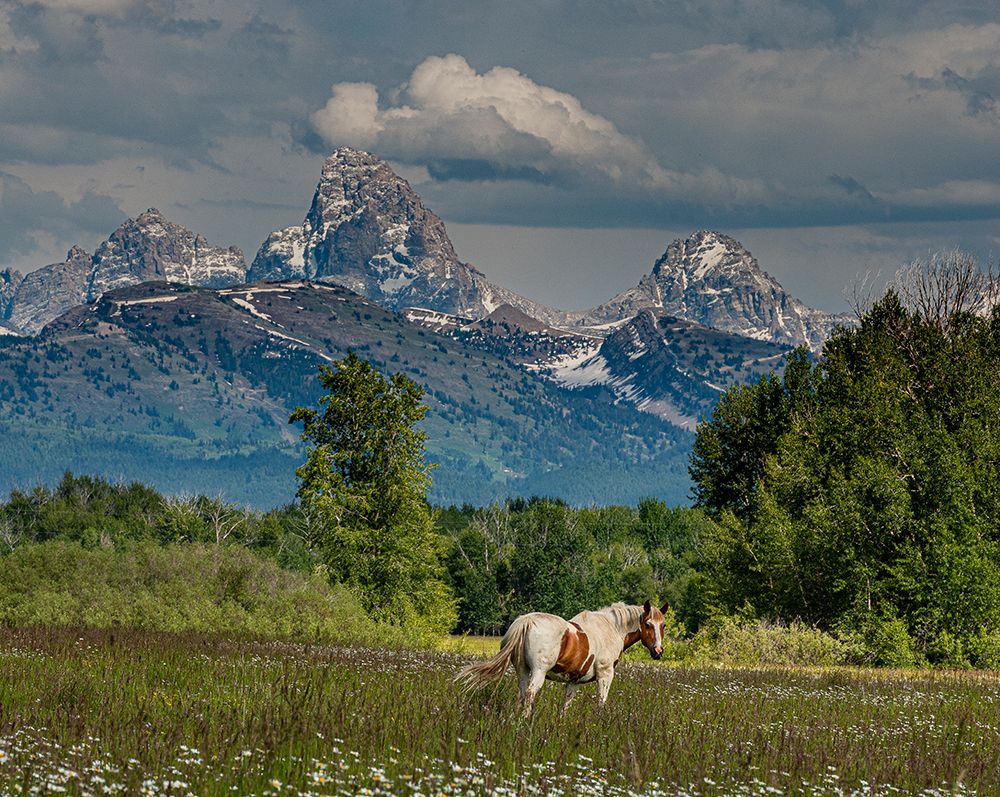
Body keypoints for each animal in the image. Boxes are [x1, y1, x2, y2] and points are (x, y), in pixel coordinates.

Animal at [456, 600, 669, 716]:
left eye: (663, 625)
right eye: (648, 624)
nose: (658, 651)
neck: (612, 628)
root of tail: (526, 621)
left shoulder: (572, 681)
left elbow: (566, 704)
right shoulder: (605, 675)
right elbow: (601, 702)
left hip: (522, 671)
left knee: (522, 694)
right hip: (538, 672)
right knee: (530, 693)